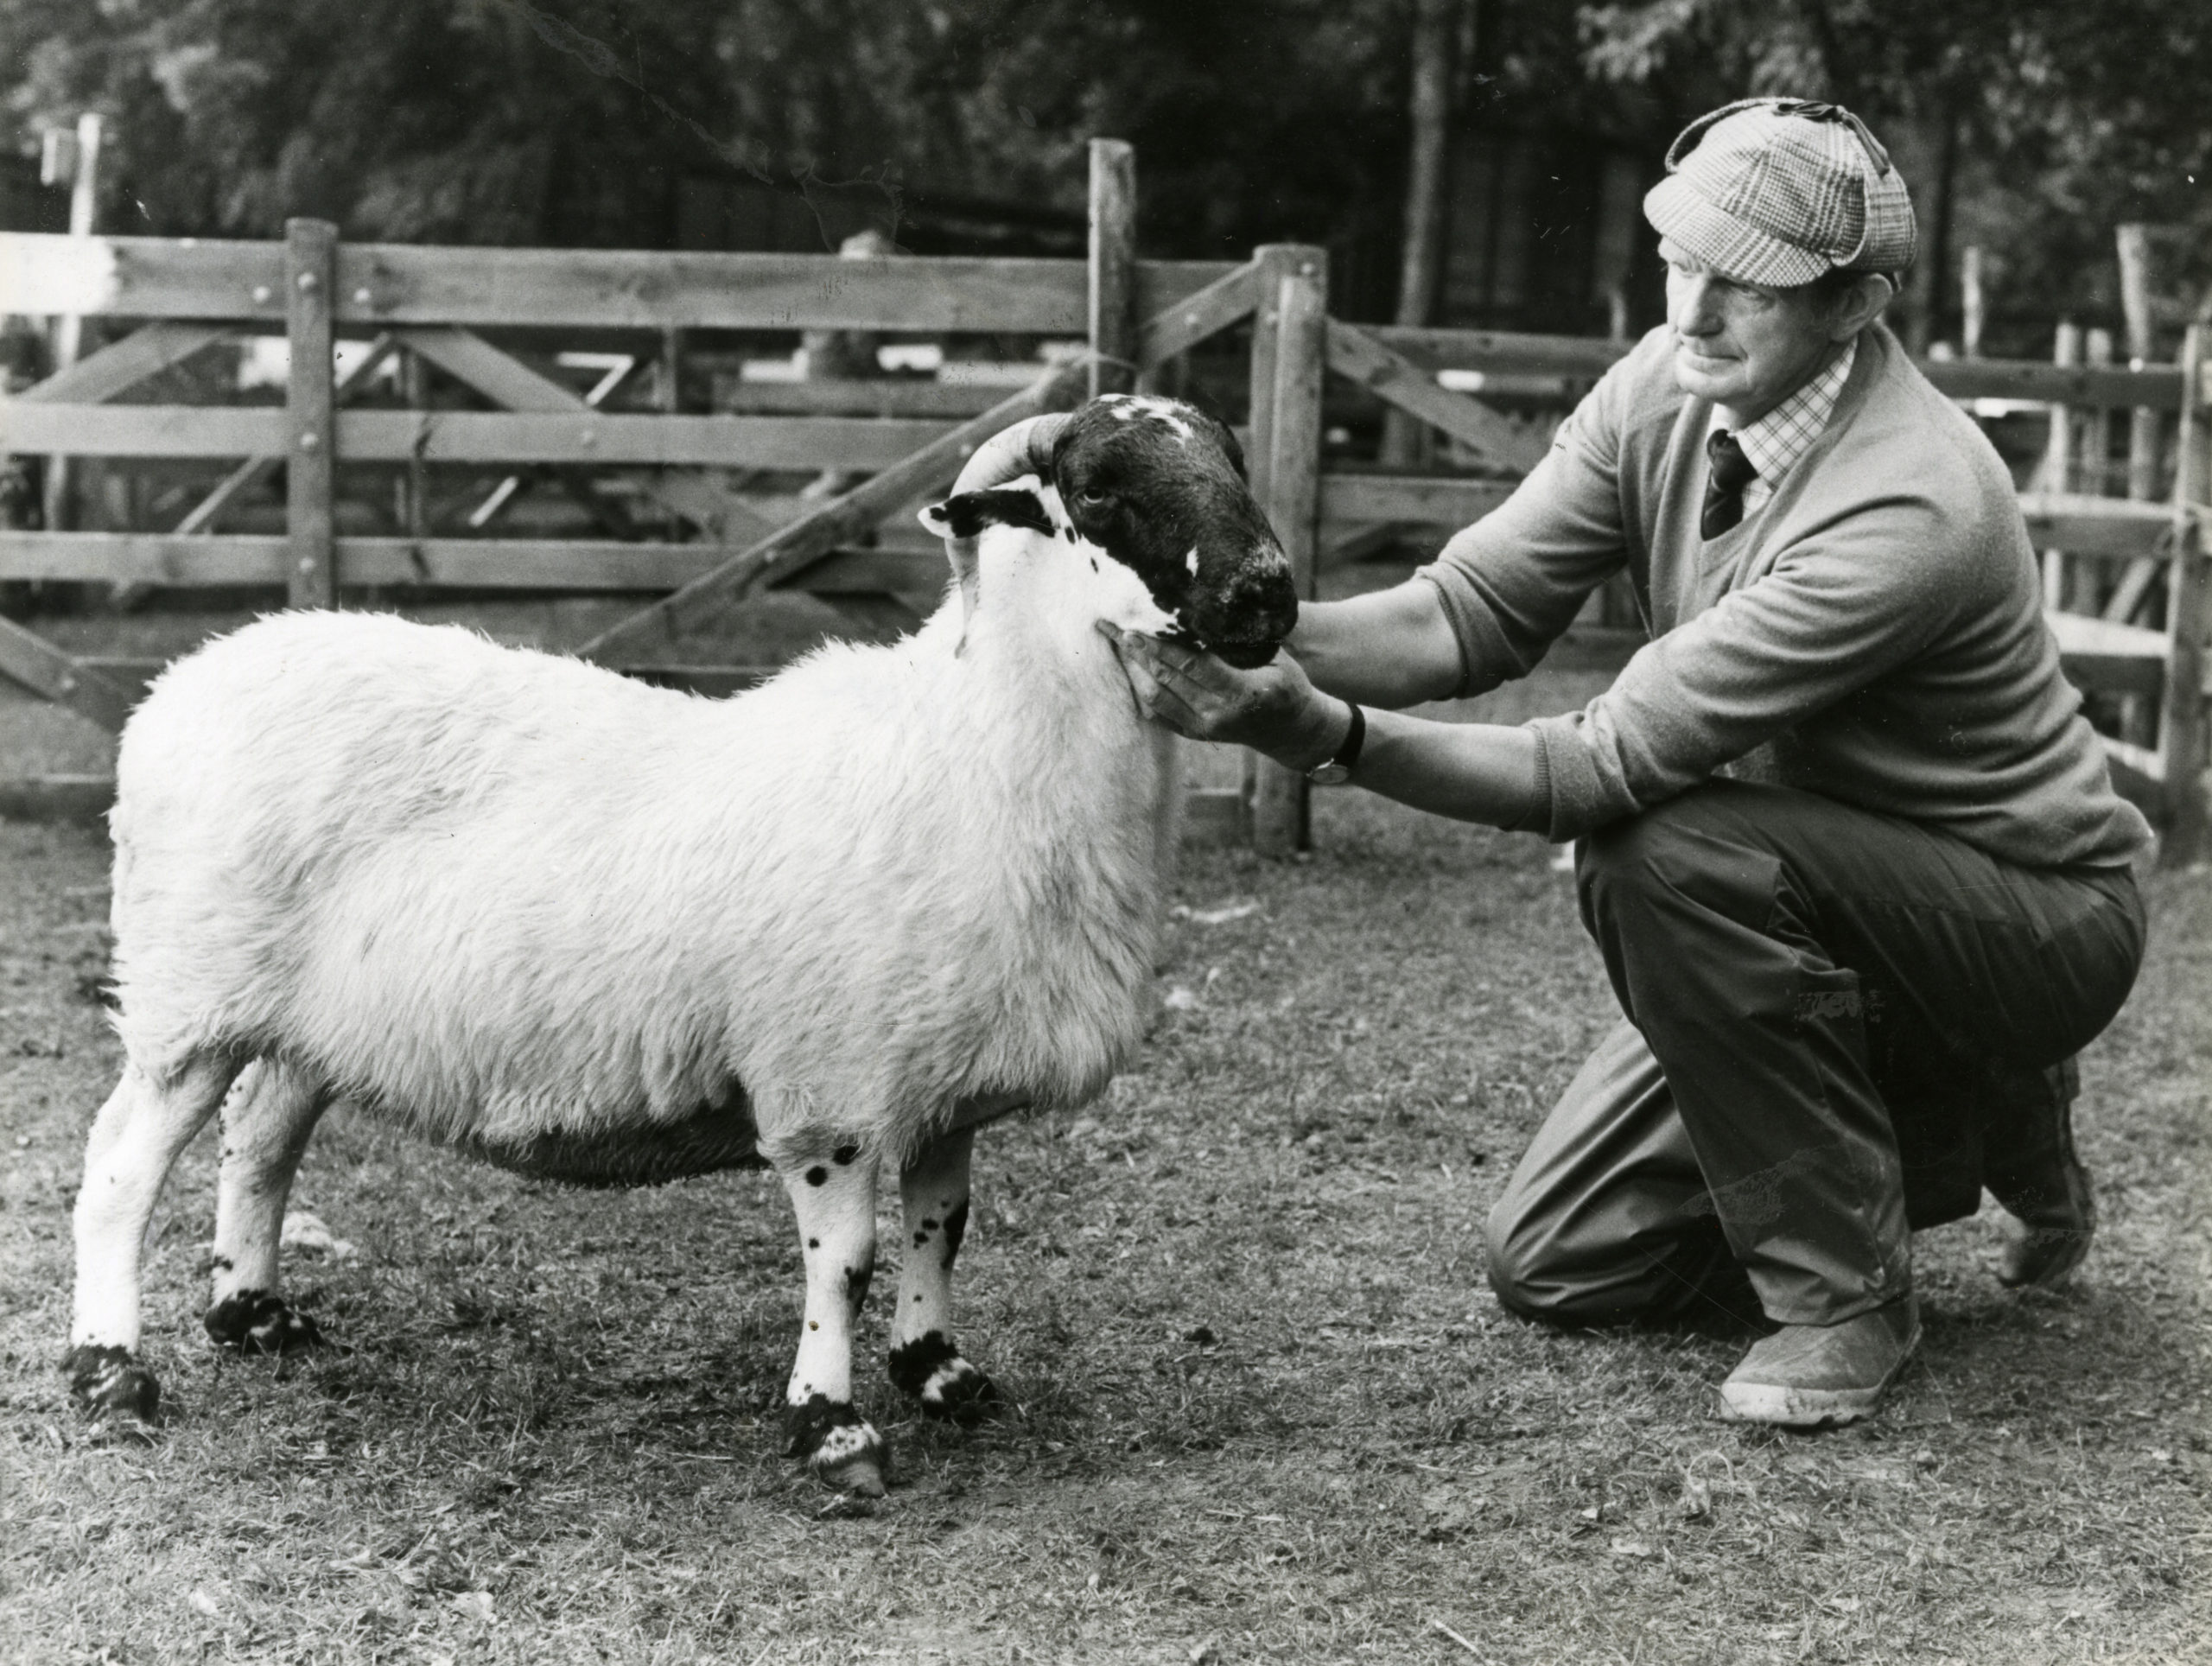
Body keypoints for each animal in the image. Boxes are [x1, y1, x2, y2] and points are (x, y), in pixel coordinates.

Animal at [64, 393, 1292, 1495]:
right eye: (1100, 490)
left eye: (1234, 460)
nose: (1267, 591)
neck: (973, 738)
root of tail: (182, 682)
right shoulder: (830, 1086)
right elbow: (846, 1264)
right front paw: (832, 1427)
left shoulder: (947, 1077)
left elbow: (942, 1228)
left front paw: (941, 1372)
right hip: (189, 990)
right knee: (119, 1168)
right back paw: (111, 1374)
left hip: (299, 1013)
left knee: (260, 1140)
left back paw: (252, 1314)